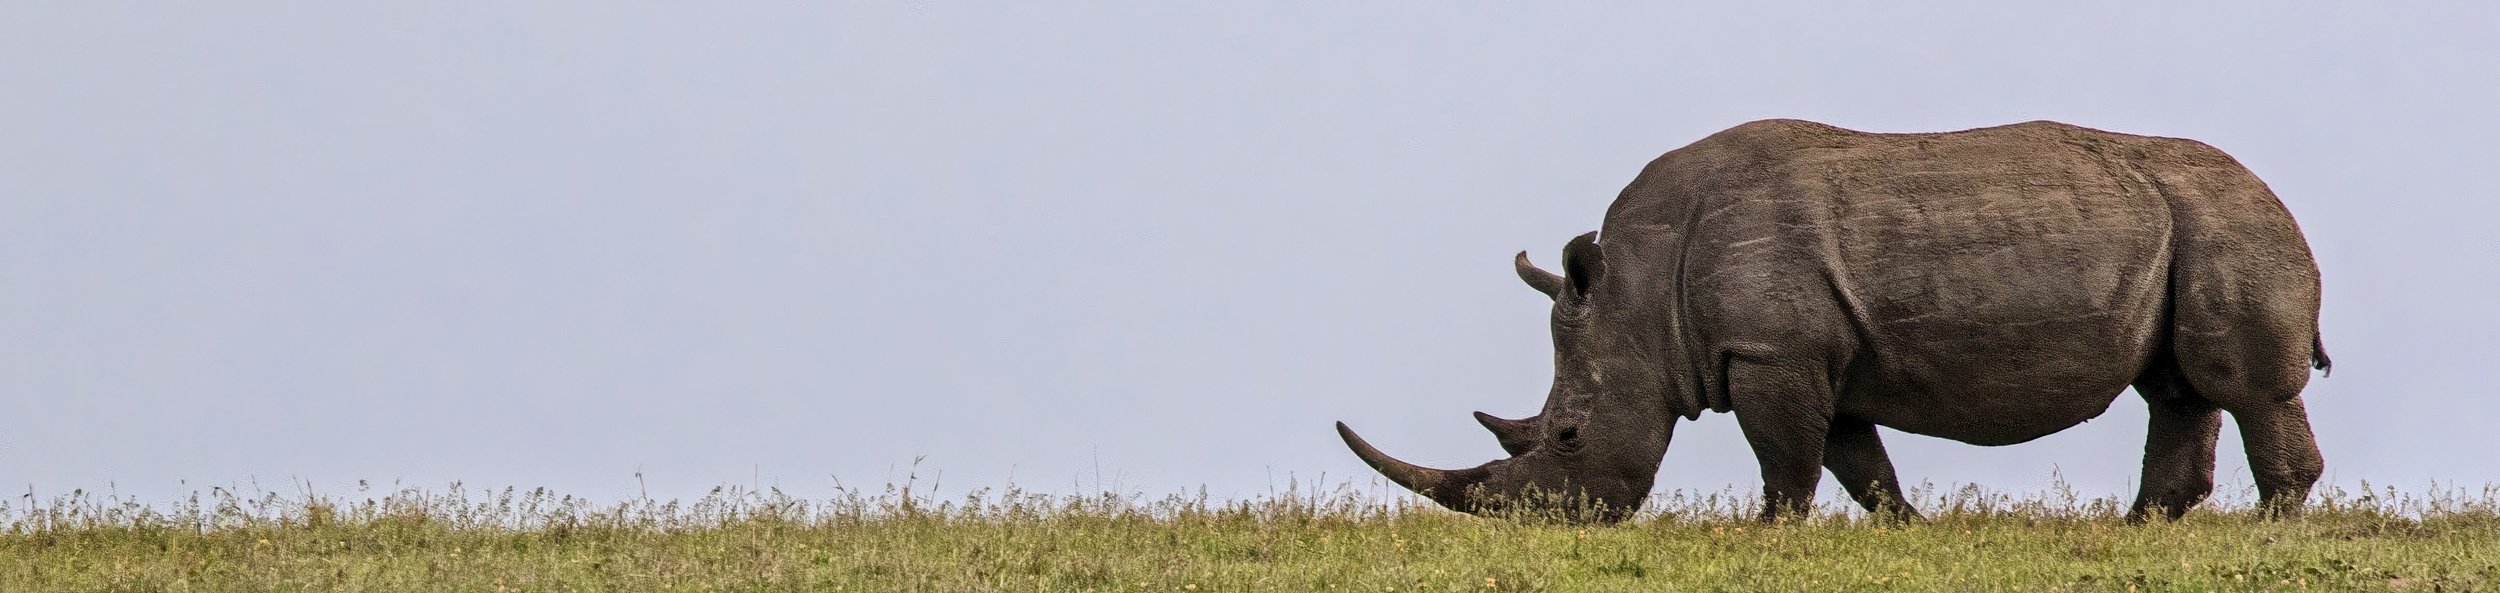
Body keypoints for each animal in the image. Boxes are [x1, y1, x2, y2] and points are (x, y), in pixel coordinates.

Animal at [1338, 119, 2329, 523]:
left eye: (1570, 435)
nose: (1551, 524)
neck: (1641, 290)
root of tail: (2281, 204)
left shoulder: (1770, 350)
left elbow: (1788, 460)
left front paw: (1764, 534)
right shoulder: (1819, 354)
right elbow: (1858, 462)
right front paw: (1907, 529)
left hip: (2235, 227)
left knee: (2244, 389)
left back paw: (2269, 524)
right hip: (2192, 224)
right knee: (2177, 388)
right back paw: (2138, 529)